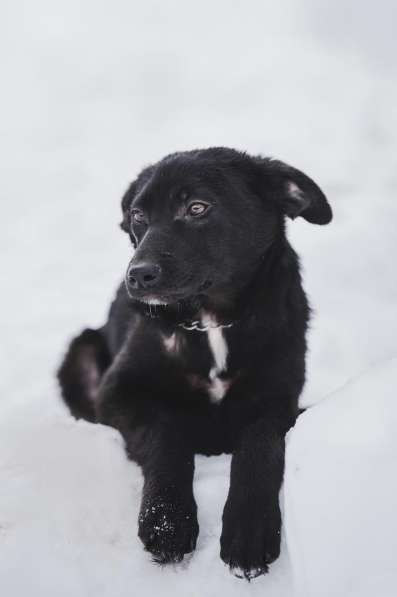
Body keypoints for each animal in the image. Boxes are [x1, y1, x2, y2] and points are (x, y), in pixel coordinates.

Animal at [58, 147, 332, 580]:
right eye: (138, 215)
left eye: (197, 207)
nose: (137, 275)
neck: (212, 320)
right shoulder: (119, 393)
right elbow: (167, 434)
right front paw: (168, 522)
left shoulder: (278, 397)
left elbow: (259, 444)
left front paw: (250, 528)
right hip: (80, 351)